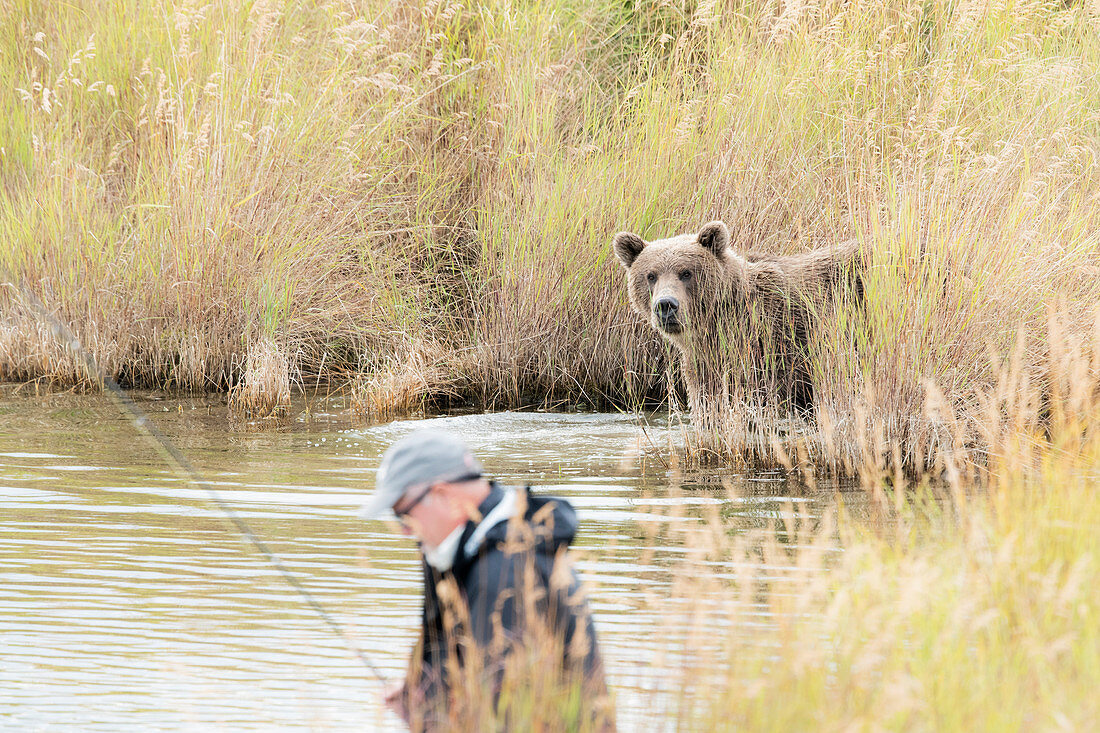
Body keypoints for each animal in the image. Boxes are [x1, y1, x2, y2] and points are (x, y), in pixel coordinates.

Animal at [611, 220, 858, 431]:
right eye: (651, 275)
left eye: (686, 272)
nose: (665, 305)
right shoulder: (704, 365)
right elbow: (709, 405)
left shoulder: (771, 349)